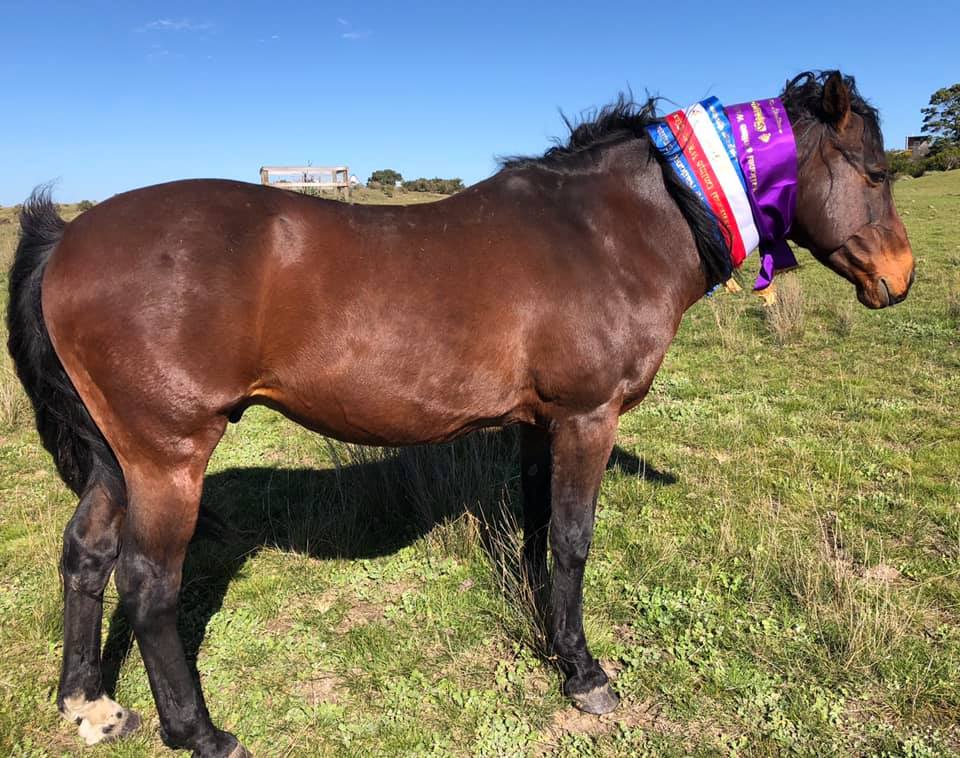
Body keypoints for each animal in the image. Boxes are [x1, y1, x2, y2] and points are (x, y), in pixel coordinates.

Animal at [6, 71, 914, 757]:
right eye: (873, 174)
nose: (900, 279)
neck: (605, 232)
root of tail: (71, 238)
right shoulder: (588, 418)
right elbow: (575, 542)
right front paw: (587, 677)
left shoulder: (541, 425)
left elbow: (541, 535)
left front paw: (553, 643)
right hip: (167, 456)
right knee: (148, 584)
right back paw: (199, 732)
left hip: (118, 458)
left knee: (86, 555)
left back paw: (87, 704)